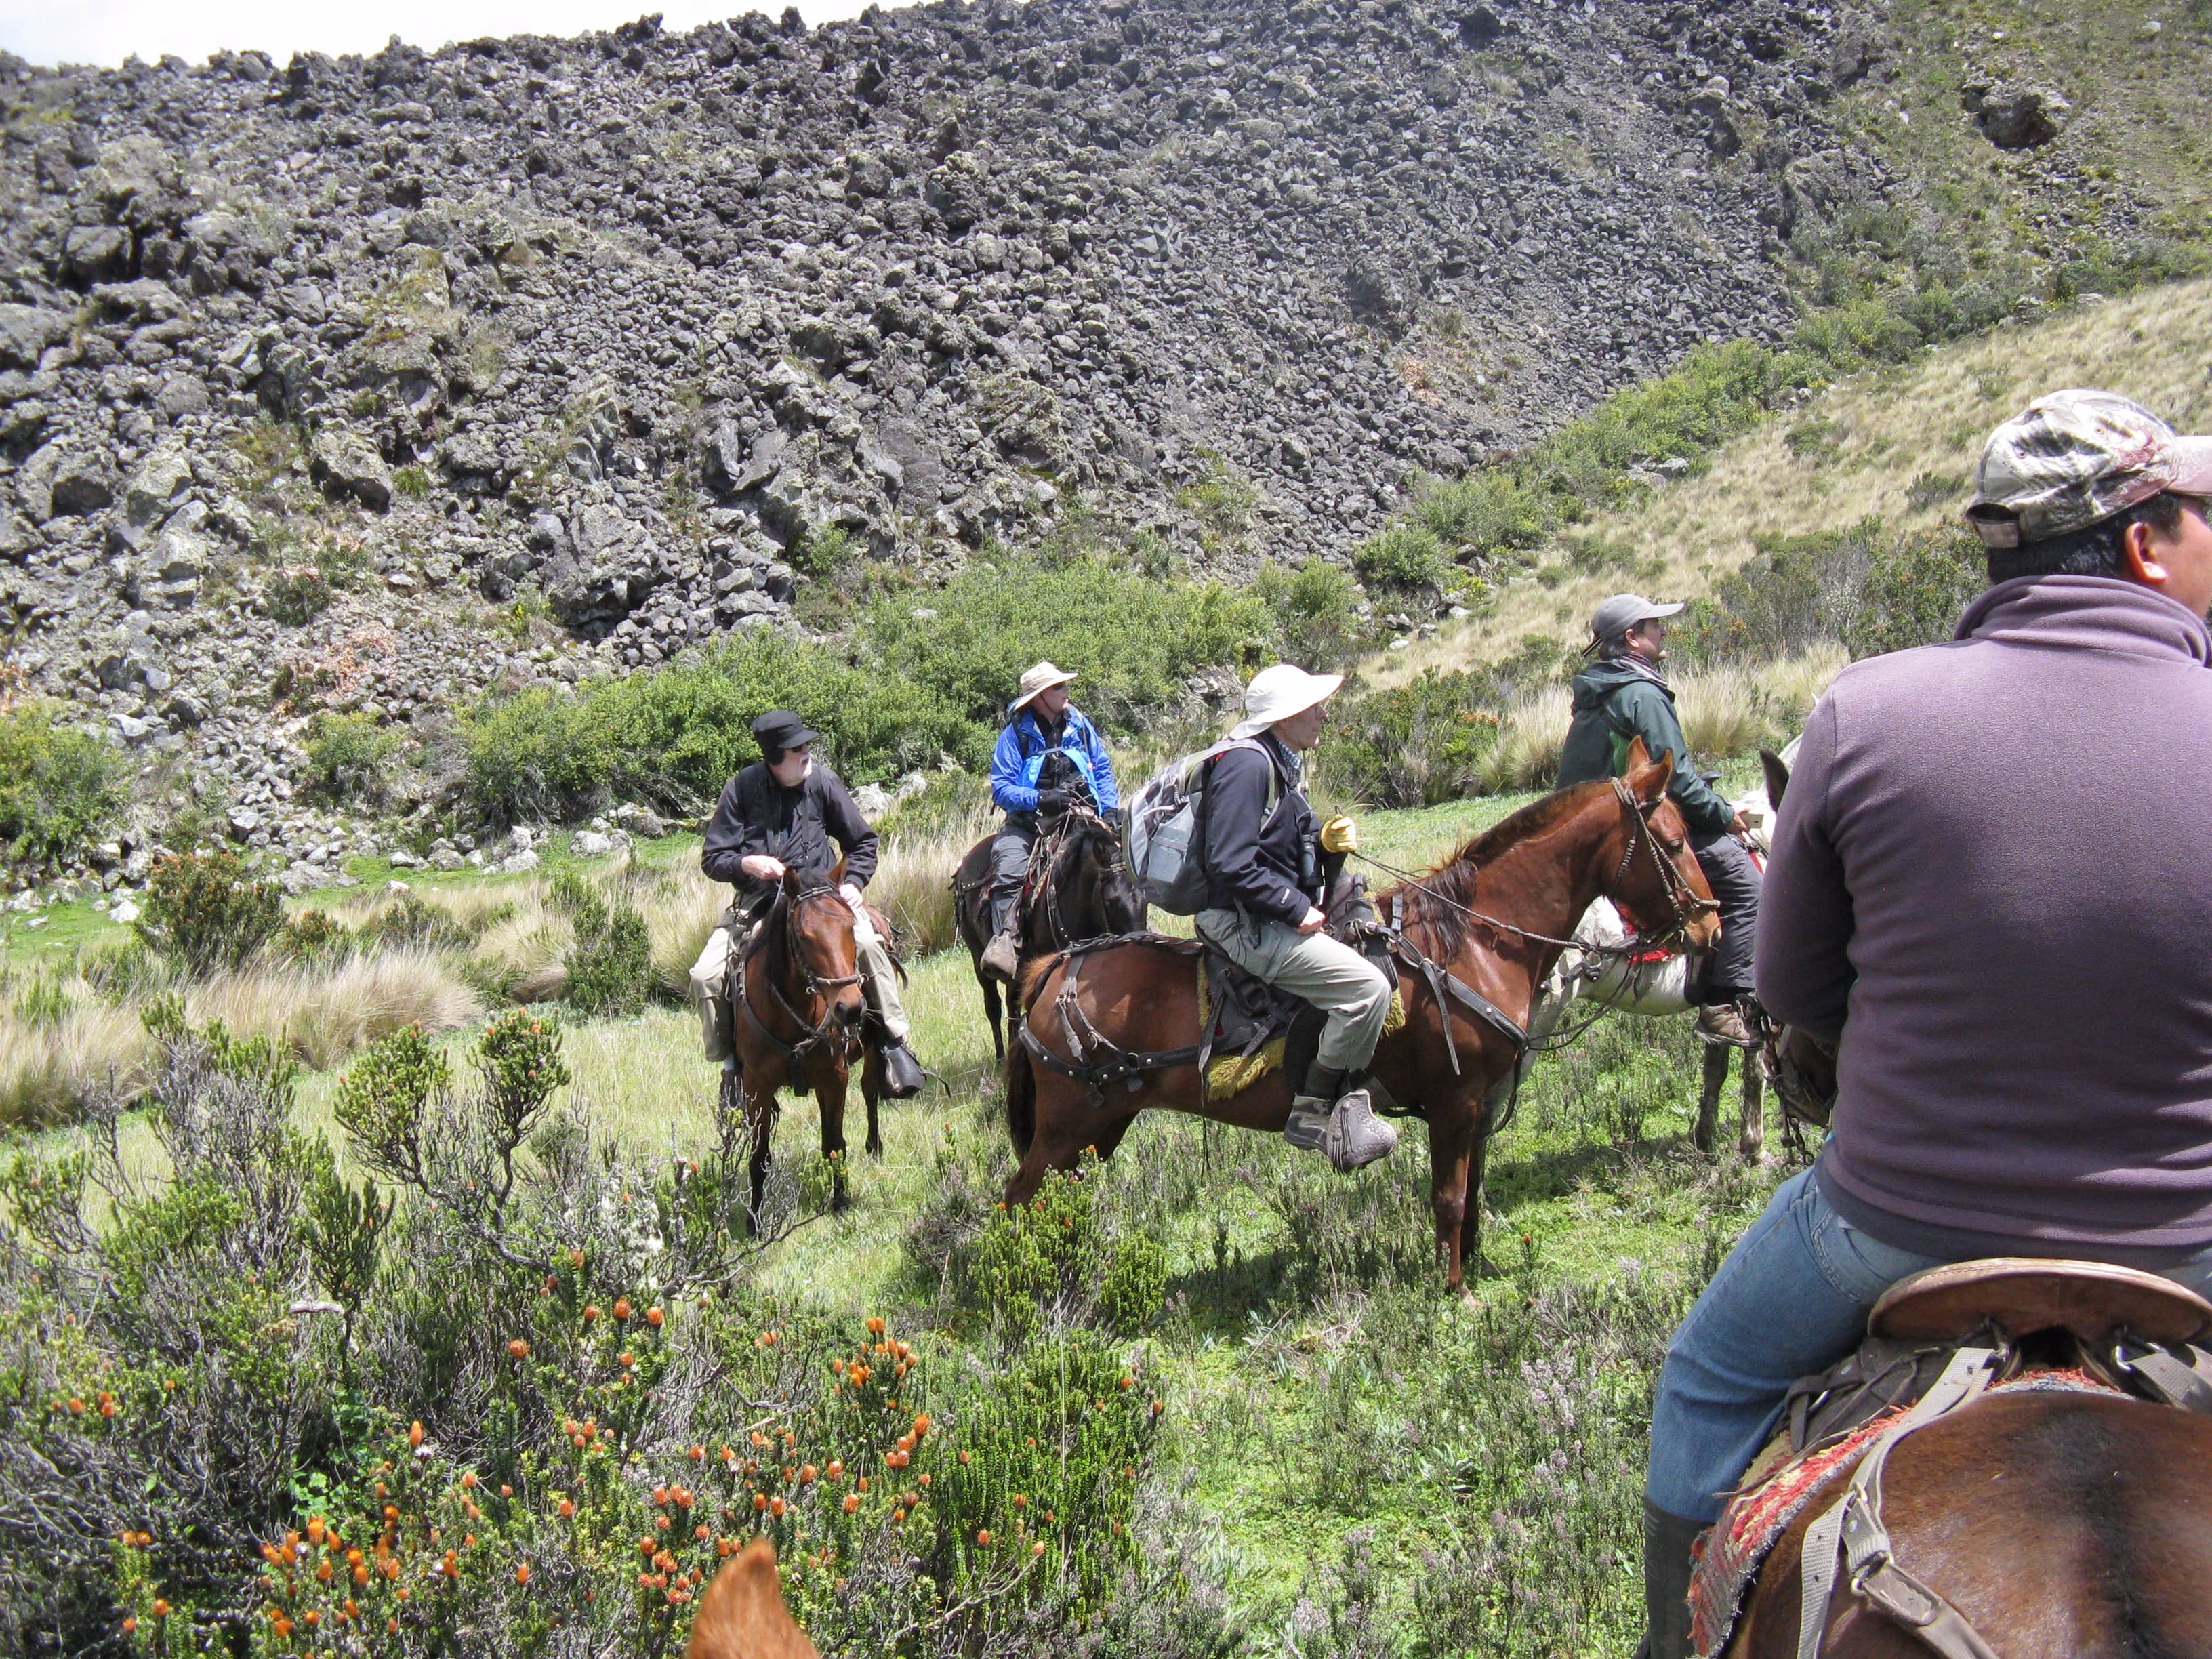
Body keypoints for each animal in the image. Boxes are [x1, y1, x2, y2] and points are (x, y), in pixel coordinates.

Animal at [721, 872, 884, 1221]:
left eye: (850, 927)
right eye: (803, 935)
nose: (850, 1008)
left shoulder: (836, 1078)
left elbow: (836, 1144)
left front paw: (840, 1202)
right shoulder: (757, 1087)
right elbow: (759, 1158)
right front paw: (754, 1221)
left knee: (871, 1090)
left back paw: (875, 1147)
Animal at [951, 805, 1150, 1066]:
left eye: (1146, 899)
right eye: (1111, 900)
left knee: (1012, 1003)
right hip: (977, 954)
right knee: (993, 1005)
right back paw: (1001, 1057)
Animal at [1000, 743, 1707, 1300]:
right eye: (1673, 843)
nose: (1709, 926)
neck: (1473, 944)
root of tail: (1054, 970)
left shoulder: (1479, 1109)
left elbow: (1474, 1195)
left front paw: (1469, 1267)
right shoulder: (1454, 1105)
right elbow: (1450, 1199)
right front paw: (1453, 1289)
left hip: (1099, 1126)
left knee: (1058, 1202)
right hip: (1066, 1127)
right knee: (1017, 1200)